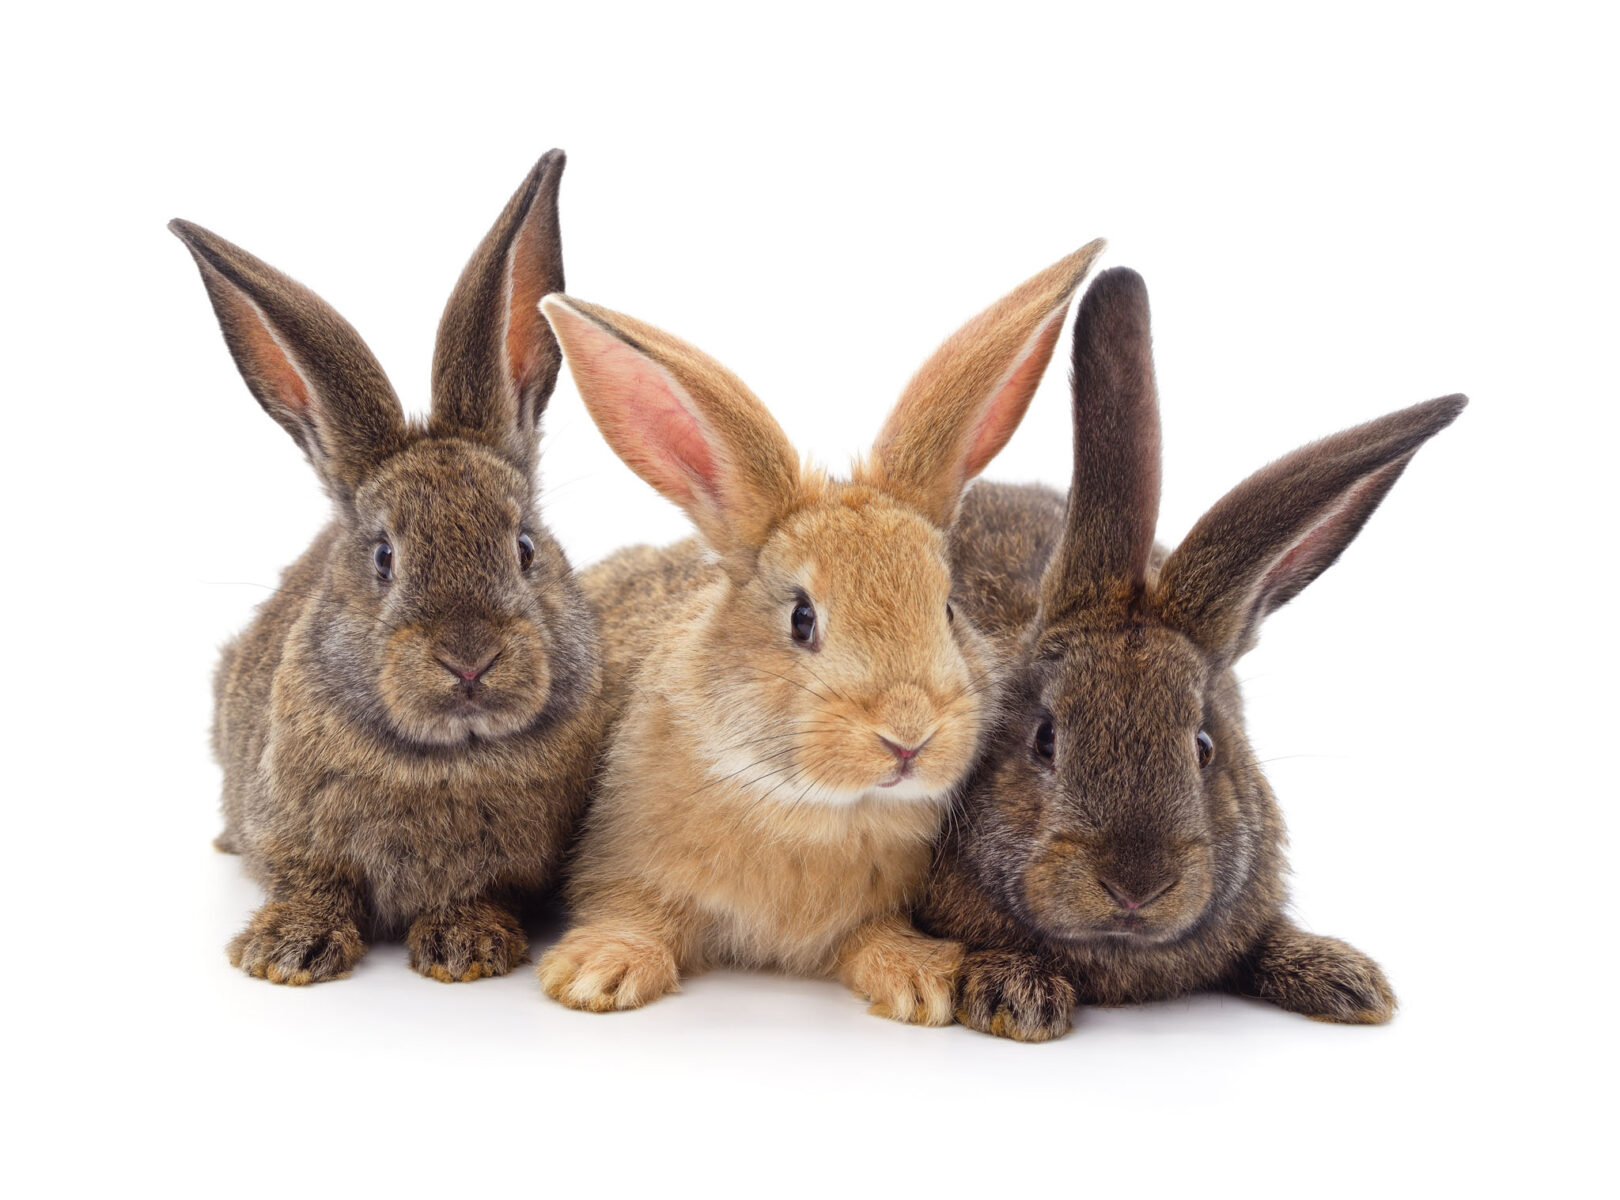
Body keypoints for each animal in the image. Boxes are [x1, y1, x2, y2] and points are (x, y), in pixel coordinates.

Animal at [173, 150, 603, 985]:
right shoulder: (297, 839)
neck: (447, 757)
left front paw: (466, 946)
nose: (469, 659)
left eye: (525, 548)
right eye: (383, 557)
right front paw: (286, 952)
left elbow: (478, 892)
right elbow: (315, 882)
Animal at [535, 239, 1106, 1023]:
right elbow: (633, 913)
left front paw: (921, 982)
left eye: (948, 606)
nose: (908, 734)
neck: (812, 806)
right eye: (802, 619)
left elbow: (872, 938)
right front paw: (597, 973)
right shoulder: (621, 868)